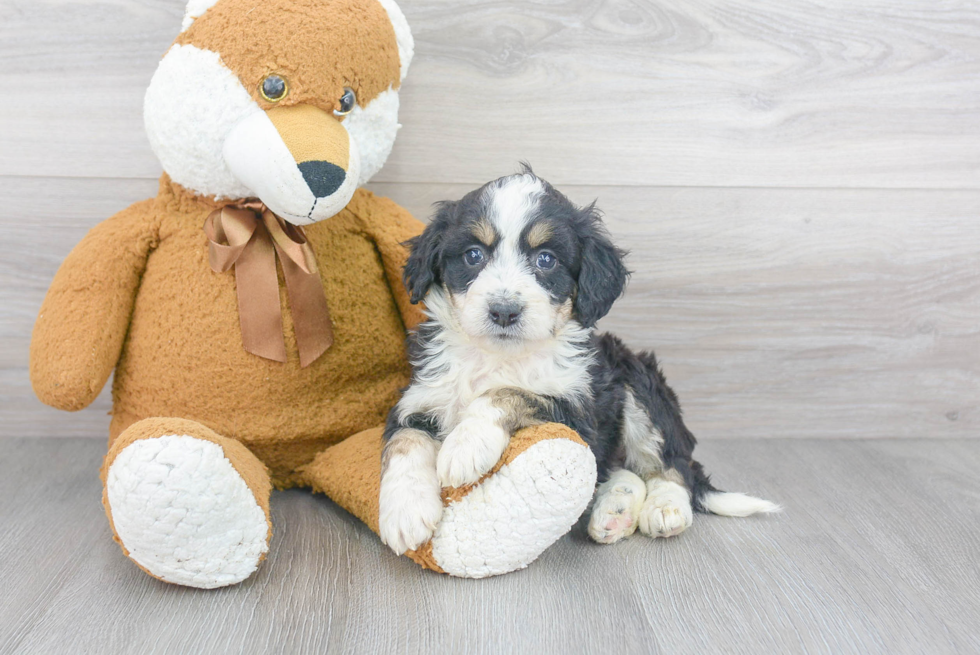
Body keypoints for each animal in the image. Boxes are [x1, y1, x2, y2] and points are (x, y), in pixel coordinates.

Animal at [378, 168, 776, 552]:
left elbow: (506, 394)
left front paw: (465, 445)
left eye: (546, 259)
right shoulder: (418, 397)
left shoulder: (578, 413)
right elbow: (405, 442)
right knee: (622, 472)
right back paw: (613, 512)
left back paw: (665, 509)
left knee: (672, 467)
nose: (504, 311)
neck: (499, 357)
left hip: (640, 388)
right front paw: (405, 512)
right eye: (473, 255)